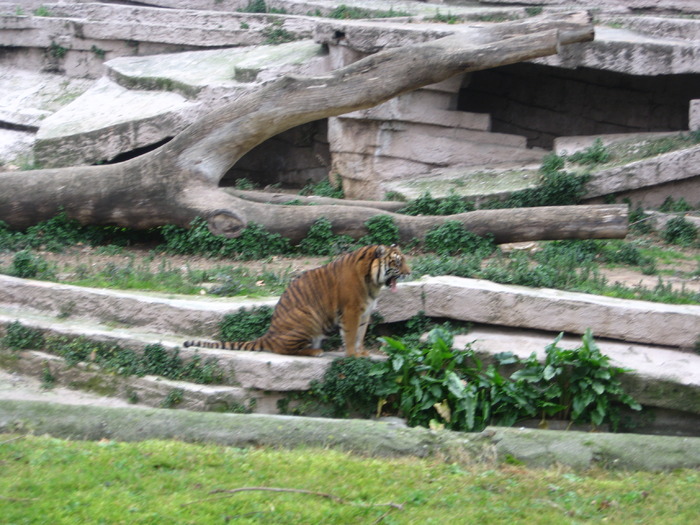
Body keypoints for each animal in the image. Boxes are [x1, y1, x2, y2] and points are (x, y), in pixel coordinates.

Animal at [183, 245, 410, 356]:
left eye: (404, 260)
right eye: (397, 262)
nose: (410, 272)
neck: (373, 282)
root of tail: (268, 335)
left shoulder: (365, 312)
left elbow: (360, 335)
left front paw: (362, 353)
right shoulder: (351, 311)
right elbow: (351, 334)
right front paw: (353, 355)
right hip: (308, 316)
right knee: (284, 349)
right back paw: (317, 352)